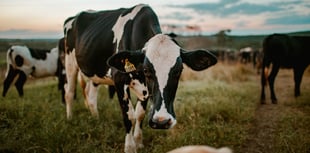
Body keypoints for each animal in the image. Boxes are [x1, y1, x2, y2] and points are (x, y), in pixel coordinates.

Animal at [64, 3, 217, 153]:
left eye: (179, 71)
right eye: (146, 70)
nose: (161, 121)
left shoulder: (145, 89)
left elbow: (140, 114)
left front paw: (138, 143)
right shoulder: (119, 80)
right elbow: (129, 116)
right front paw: (130, 147)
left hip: (94, 73)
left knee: (91, 95)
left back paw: (96, 118)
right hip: (70, 62)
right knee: (69, 92)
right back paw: (70, 119)